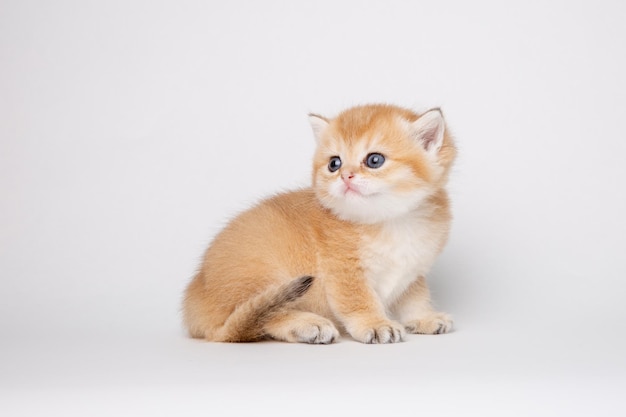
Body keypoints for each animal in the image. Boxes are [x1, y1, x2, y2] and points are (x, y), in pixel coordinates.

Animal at [183, 103, 456, 342]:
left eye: (374, 160)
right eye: (334, 163)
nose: (346, 176)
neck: (391, 220)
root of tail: (194, 298)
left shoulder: (413, 271)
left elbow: (415, 298)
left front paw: (424, 318)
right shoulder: (343, 271)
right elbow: (358, 300)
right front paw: (375, 323)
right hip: (262, 276)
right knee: (264, 317)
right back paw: (308, 325)